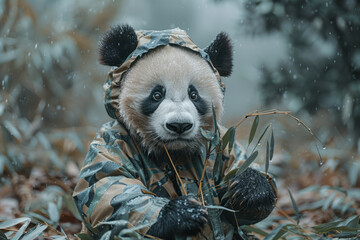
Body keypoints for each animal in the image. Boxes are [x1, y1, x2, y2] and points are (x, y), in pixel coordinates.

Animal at [72, 24, 276, 240]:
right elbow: (111, 187)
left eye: (194, 95)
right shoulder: (115, 141)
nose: (179, 125)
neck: (175, 151)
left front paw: (249, 188)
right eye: (157, 95)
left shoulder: (220, 141)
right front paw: (184, 213)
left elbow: (238, 174)